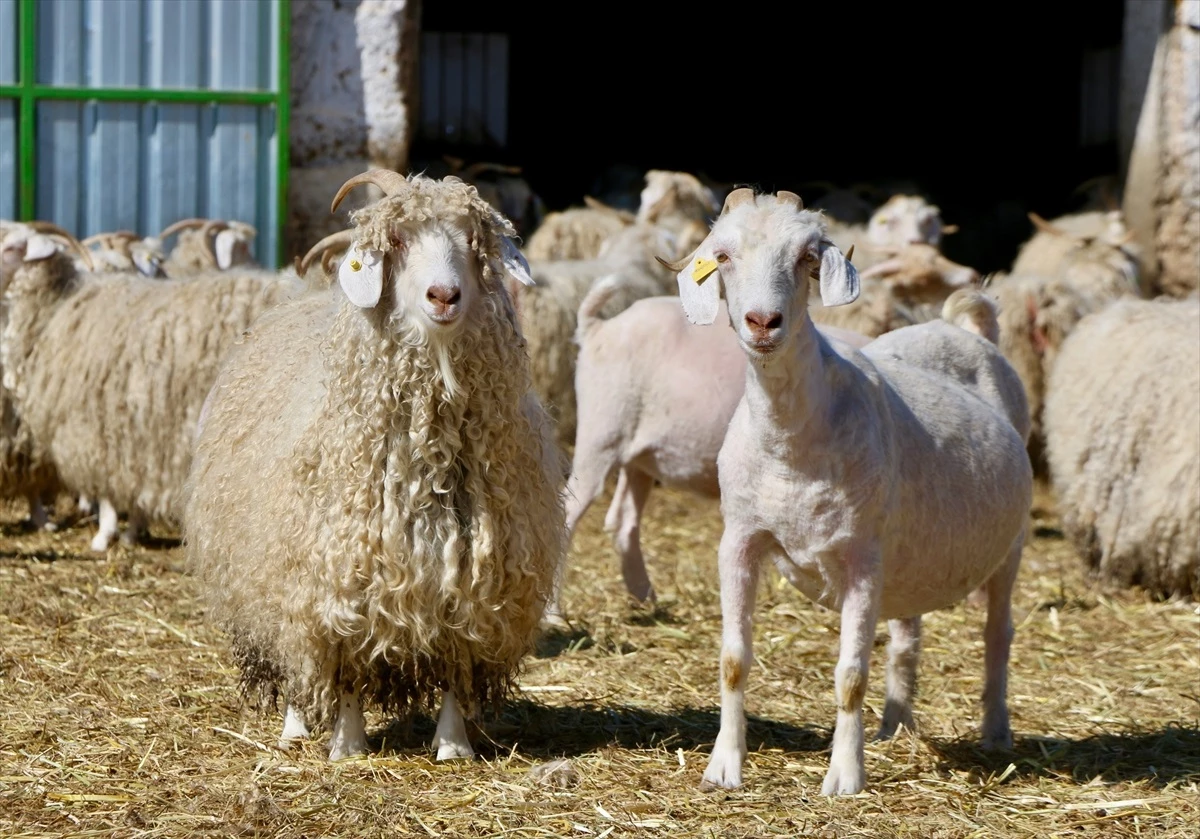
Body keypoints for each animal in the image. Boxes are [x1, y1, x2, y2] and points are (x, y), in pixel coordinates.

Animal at [2, 224, 309, 552]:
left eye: (11, 248)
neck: (58, 306)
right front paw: (131, 530)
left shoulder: (97, 426)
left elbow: (110, 490)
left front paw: (107, 534)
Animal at [183, 169, 566, 763]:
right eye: (399, 241)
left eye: (473, 242)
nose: (444, 295)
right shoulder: (337, 572)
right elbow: (343, 660)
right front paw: (348, 744)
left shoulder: (474, 585)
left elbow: (456, 661)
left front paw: (453, 745)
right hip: (270, 574)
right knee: (295, 653)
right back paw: (296, 726)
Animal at [547, 278, 873, 628]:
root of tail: (597, 328)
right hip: (601, 429)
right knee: (568, 513)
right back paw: (554, 613)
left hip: (638, 456)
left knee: (622, 520)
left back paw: (646, 596)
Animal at [662, 190, 1027, 801]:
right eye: (724, 255)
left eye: (807, 257)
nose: (763, 322)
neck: (792, 449)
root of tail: (962, 328)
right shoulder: (739, 540)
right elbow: (734, 660)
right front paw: (724, 767)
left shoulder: (861, 557)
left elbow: (851, 675)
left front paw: (844, 776)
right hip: (913, 551)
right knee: (906, 635)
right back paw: (895, 726)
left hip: (1009, 547)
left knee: (998, 632)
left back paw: (996, 732)